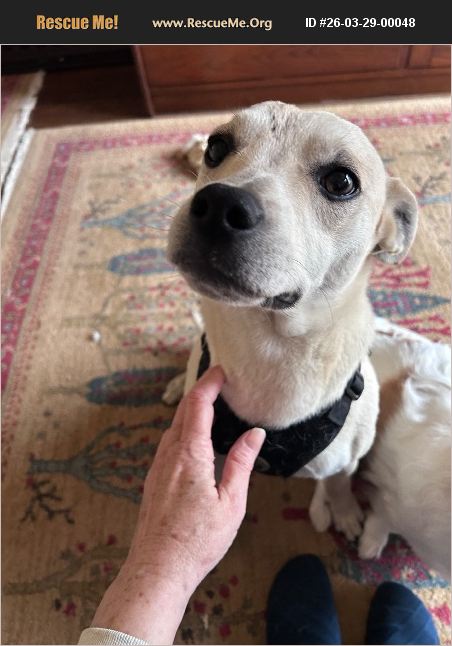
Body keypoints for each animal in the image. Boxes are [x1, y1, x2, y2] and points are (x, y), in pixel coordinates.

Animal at [164, 101, 418, 539]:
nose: (218, 205)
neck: (273, 348)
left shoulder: (346, 460)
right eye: (216, 147)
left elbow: (339, 483)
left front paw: (345, 512)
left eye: (341, 181)